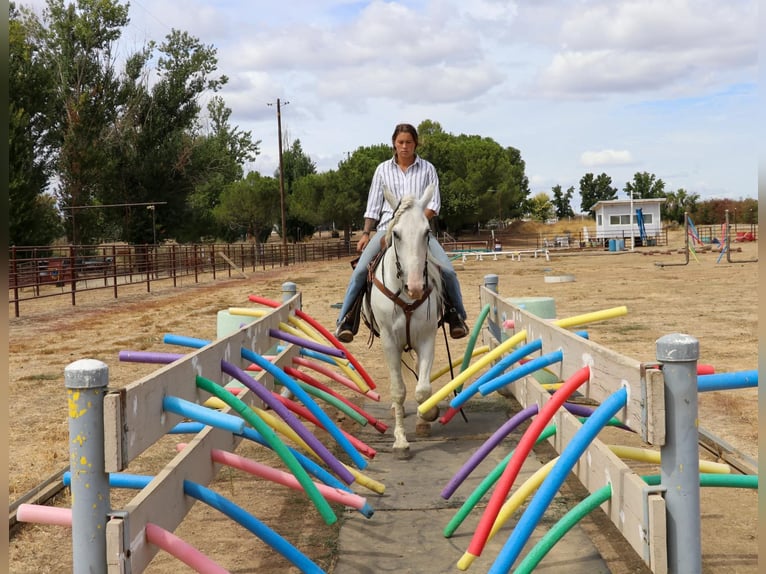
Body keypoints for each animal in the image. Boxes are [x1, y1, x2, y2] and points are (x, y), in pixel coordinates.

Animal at [364, 187, 444, 462]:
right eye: (396, 234)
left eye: (427, 232)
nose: (416, 287)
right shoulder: (389, 341)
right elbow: (398, 391)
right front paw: (400, 441)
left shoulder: (427, 339)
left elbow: (423, 389)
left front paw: (427, 414)